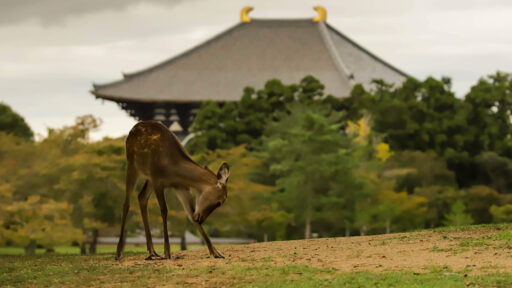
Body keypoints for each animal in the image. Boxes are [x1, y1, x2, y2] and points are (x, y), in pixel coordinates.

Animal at [116, 120, 230, 260]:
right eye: (219, 202)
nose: (201, 219)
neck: (173, 170)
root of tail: (132, 129)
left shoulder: (181, 186)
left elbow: (190, 213)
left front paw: (216, 252)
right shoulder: (158, 180)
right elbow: (164, 210)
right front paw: (167, 252)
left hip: (148, 179)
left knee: (141, 197)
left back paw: (152, 252)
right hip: (132, 165)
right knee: (126, 203)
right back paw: (119, 253)